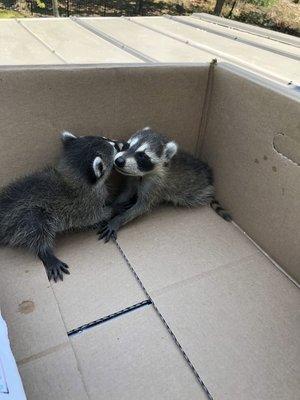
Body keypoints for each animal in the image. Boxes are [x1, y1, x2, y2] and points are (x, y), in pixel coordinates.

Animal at [0, 131, 117, 282]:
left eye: (105, 138)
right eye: (114, 147)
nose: (121, 143)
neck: (73, 176)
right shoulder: (85, 206)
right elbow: (95, 216)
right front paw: (114, 208)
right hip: (24, 216)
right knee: (36, 226)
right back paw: (45, 252)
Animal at [99, 127, 231, 241]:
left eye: (142, 156)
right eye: (127, 146)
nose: (119, 161)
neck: (142, 174)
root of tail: (209, 176)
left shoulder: (155, 186)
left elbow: (141, 207)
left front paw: (117, 220)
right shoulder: (132, 178)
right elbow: (126, 193)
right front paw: (113, 207)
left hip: (196, 193)